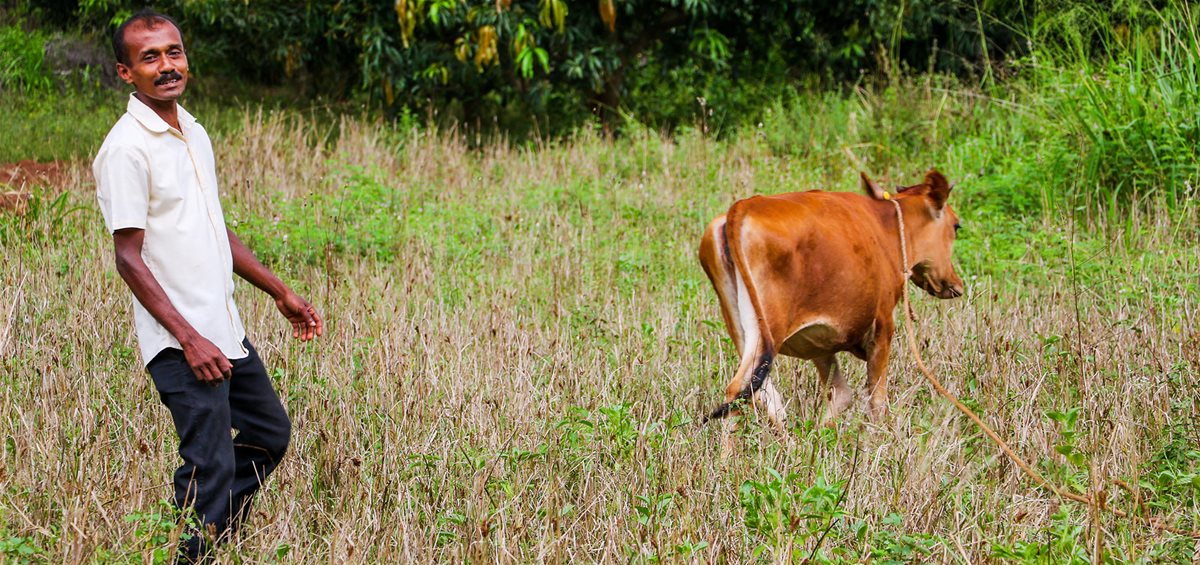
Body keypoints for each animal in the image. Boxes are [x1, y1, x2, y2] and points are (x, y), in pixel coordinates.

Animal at [696, 166, 964, 434]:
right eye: (956, 226)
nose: (956, 284)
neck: (884, 228)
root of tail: (741, 208)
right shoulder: (883, 326)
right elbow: (876, 401)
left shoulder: (817, 343)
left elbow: (841, 394)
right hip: (769, 327)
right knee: (738, 390)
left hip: (744, 330)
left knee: (761, 396)